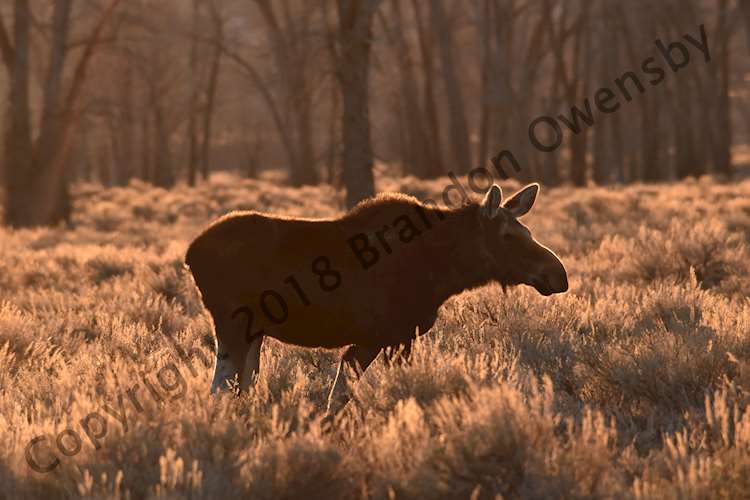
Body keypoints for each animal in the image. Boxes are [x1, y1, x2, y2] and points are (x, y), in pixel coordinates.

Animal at [185, 183, 568, 414]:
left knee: (241, 388)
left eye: (526, 231)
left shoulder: (383, 339)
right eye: (507, 236)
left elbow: (339, 397)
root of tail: (190, 254)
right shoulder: (390, 336)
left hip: (255, 332)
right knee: (219, 389)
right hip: (232, 325)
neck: (444, 272)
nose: (558, 274)